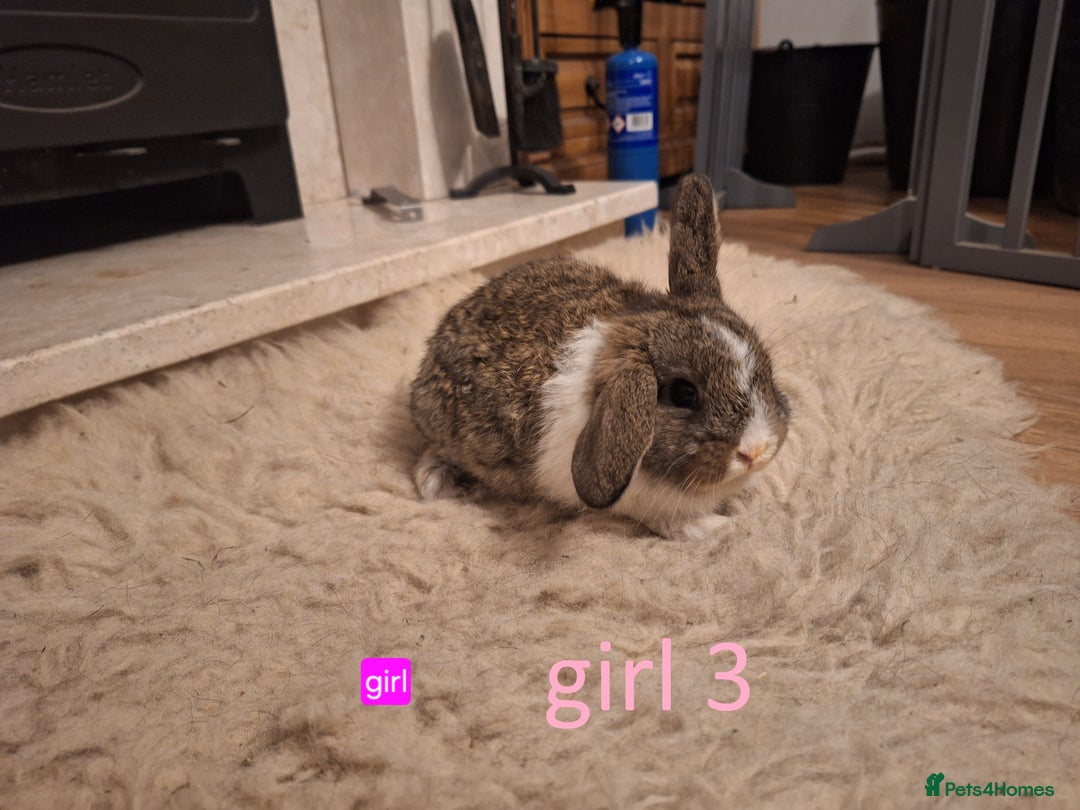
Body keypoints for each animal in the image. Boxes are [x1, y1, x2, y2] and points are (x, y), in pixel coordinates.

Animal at [408, 173, 790, 540]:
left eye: (765, 366)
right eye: (684, 393)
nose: (756, 449)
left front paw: (741, 501)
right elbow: (672, 522)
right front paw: (720, 528)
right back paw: (434, 483)